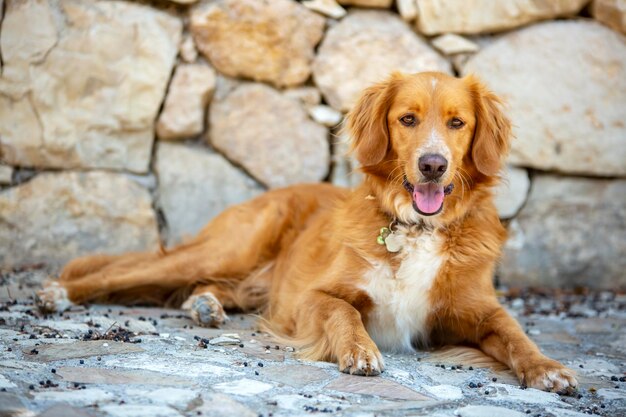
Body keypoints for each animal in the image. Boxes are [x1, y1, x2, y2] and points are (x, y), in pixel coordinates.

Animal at [37, 72, 576, 394]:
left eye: (457, 123)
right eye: (408, 119)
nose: (432, 165)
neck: (417, 228)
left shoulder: (480, 310)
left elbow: (515, 334)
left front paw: (549, 368)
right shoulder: (312, 297)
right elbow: (344, 312)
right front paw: (360, 350)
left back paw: (206, 305)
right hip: (226, 251)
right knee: (124, 272)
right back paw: (57, 292)